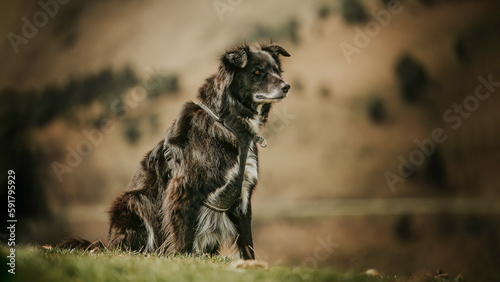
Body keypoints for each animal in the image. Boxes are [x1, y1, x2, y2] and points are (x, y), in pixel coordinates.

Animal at [60, 42, 292, 260]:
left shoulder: (242, 194)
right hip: (134, 201)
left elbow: (247, 242)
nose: (286, 86)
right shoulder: (183, 187)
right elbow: (183, 234)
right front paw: (182, 258)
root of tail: (110, 244)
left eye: (277, 71)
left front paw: (251, 264)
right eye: (257, 72)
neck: (228, 124)